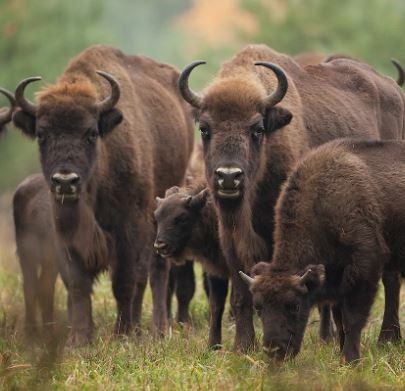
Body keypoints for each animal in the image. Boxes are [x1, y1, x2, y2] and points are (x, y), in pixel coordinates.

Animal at [12, 45, 194, 346]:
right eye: (41, 134)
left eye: (91, 133)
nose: (65, 181)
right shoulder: (65, 231)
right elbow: (77, 283)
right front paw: (80, 339)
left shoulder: (127, 227)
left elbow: (124, 280)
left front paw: (122, 333)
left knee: (155, 272)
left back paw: (155, 328)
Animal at [238, 139, 404, 362]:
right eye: (258, 307)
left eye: (294, 305)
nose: (274, 350)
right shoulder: (335, 273)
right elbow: (339, 316)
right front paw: (342, 353)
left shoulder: (365, 266)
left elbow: (352, 317)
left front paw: (350, 359)